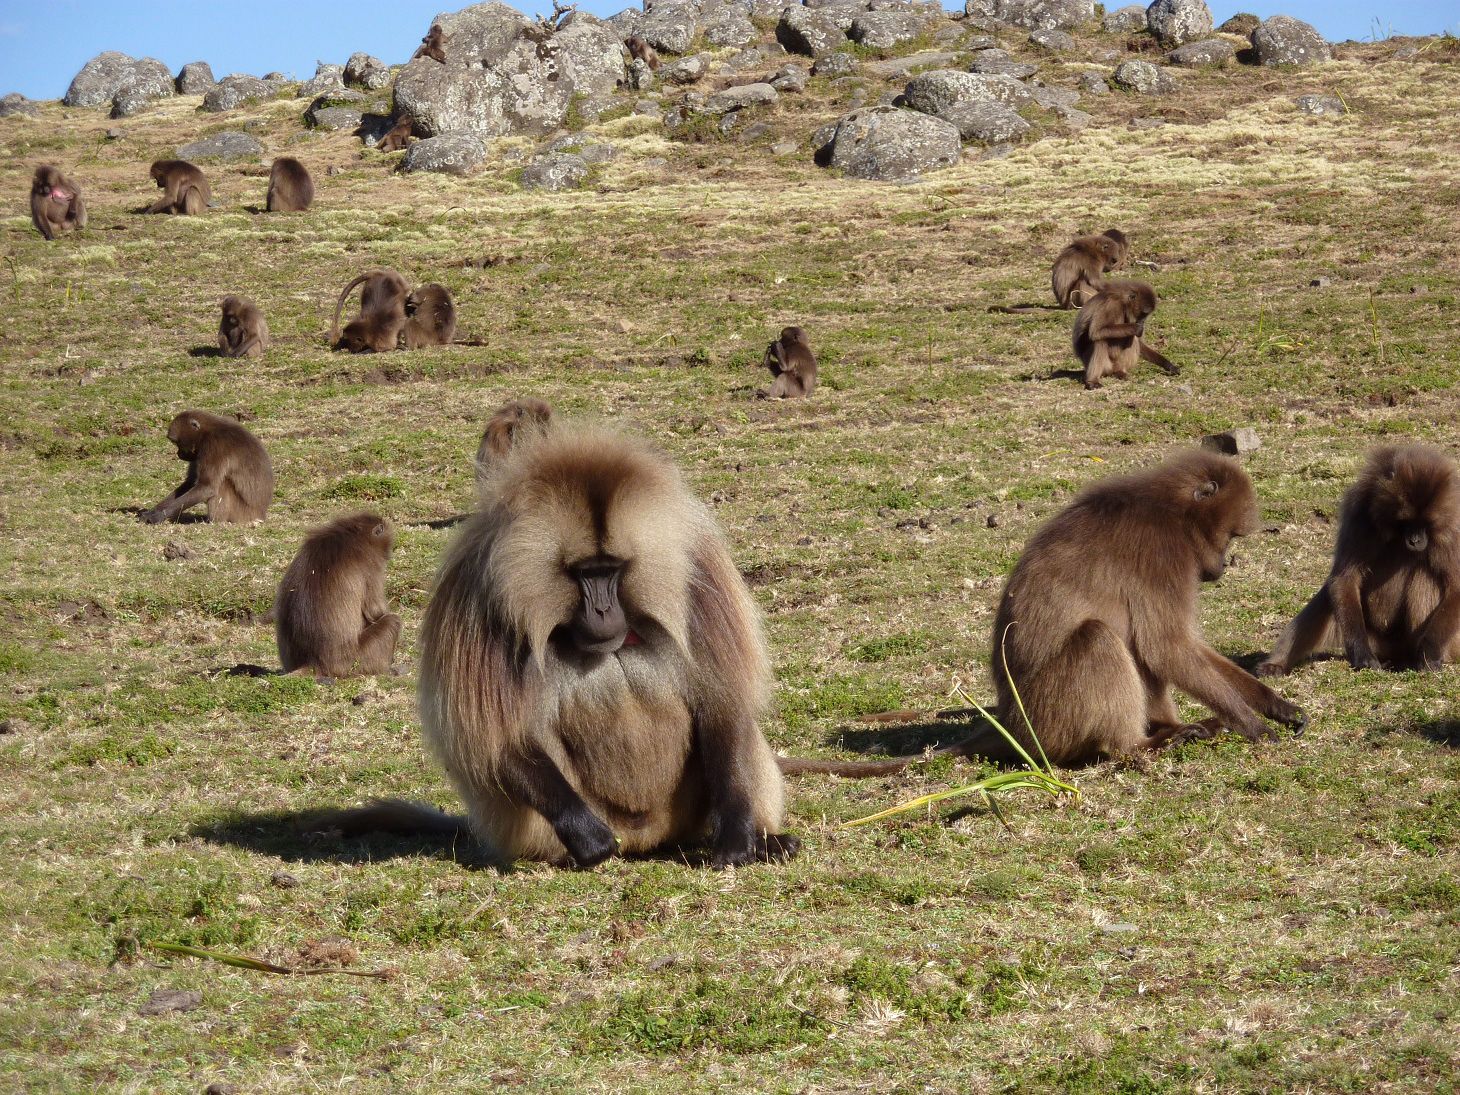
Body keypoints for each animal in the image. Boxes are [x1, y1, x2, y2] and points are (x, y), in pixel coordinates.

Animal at [138, 414, 274, 528]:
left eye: (176, 442)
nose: (178, 454)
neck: (206, 432)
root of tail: (261, 514)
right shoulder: (198, 452)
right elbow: (191, 482)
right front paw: (153, 511)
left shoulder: (214, 446)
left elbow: (207, 487)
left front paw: (158, 516)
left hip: (241, 513)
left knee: (221, 484)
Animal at [273, 513, 400, 677]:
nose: (389, 555)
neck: (355, 534)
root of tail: (313, 662)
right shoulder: (371, 564)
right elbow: (376, 611)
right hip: (354, 660)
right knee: (393, 621)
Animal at [325, 423, 800, 870]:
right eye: (584, 573)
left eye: (612, 570)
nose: (604, 611)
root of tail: (648, 840)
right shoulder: (477, 599)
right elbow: (494, 735)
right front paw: (589, 839)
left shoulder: (699, 575)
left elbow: (723, 702)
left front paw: (739, 837)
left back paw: (768, 841)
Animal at [782, 449, 1308, 776]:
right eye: (1230, 537)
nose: (1222, 567)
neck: (1170, 509)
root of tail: (1012, 719)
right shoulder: (1162, 557)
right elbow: (1169, 647)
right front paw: (1254, 726)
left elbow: (1171, 649)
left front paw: (1276, 706)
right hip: (1052, 717)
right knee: (1102, 637)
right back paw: (1141, 744)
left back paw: (1172, 728)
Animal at [1255, 446, 1460, 677]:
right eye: (1405, 521)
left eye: (1425, 524)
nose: (1415, 540)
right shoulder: (1360, 515)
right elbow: (1344, 579)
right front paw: (1362, 655)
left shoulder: (1452, 530)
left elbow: (1456, 588)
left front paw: (1429, 654)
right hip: (1377, 641)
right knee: (1329, 594)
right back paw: (1276, 664)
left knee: (1426, 576)